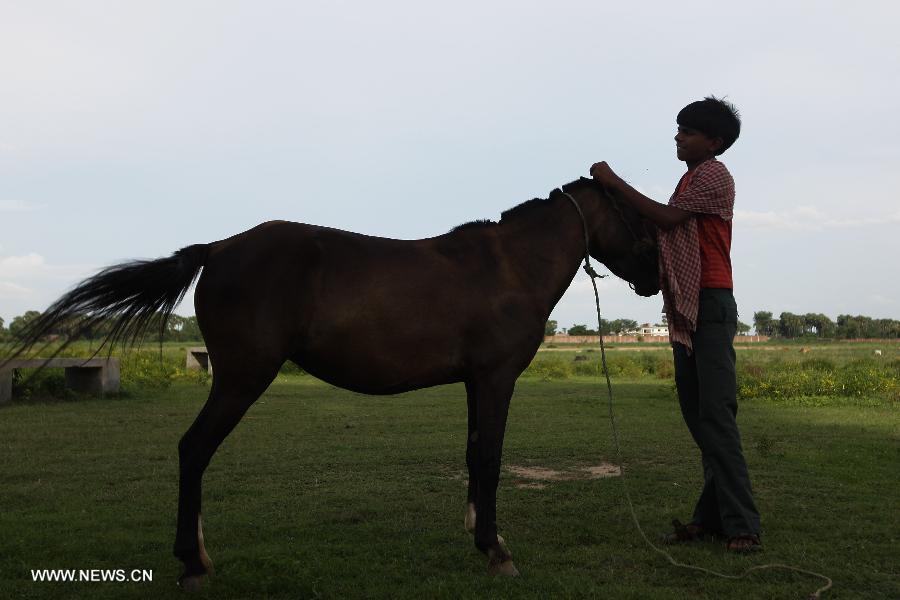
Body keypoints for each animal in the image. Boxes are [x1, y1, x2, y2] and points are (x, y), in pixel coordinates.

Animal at [3, 177, 656, 584]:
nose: (653, 278)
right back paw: (193, 563)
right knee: (193, 450)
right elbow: (491, 460)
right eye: (638, 214)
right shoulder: (496, 379)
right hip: (241, 378)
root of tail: (218, 248)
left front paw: (479, 537)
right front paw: (497, 551)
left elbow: (475, 457)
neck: (507, 266)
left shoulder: (475, 383)